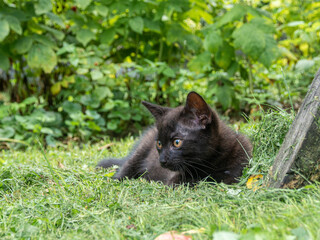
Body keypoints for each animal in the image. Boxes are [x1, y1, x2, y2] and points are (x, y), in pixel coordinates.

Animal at [96, 92, 251, 186]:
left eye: (177, 142)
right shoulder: (174, 178)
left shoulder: (240, 163)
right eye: (159, 143)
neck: (209, 163)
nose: (162, 161)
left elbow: (224, 177)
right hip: (138, 153)